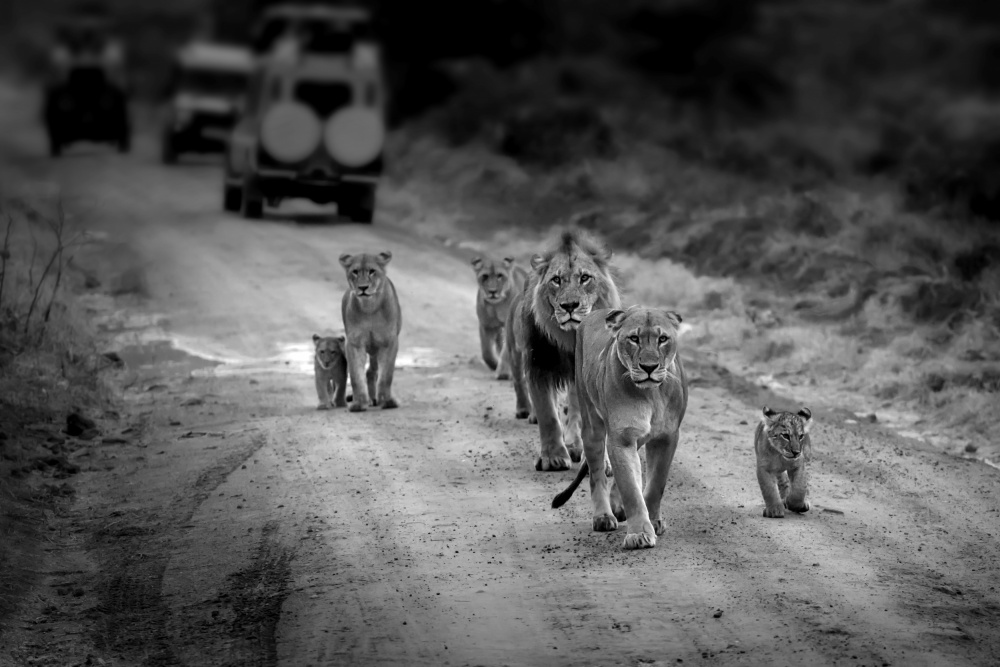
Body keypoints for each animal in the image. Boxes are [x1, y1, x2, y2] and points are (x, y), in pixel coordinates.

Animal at [508, 230, 616, 470]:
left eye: (585, 278)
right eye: (556, 280)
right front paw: (553, 458)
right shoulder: (539, 367)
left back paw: (575, 445)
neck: (570, 338)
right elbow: (548, 414)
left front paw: (598, 461)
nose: (569, 306)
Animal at [556, 306, 688, 552]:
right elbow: (631, 489)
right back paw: (603, 516)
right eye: (634, 339)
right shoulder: (621, 438)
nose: (649, 367)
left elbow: (656, 483)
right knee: (596, 474)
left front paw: (654, 521)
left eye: (662, 339)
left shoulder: (667, 437)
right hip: (591, 425)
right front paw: (639, 534)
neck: (651, 394)